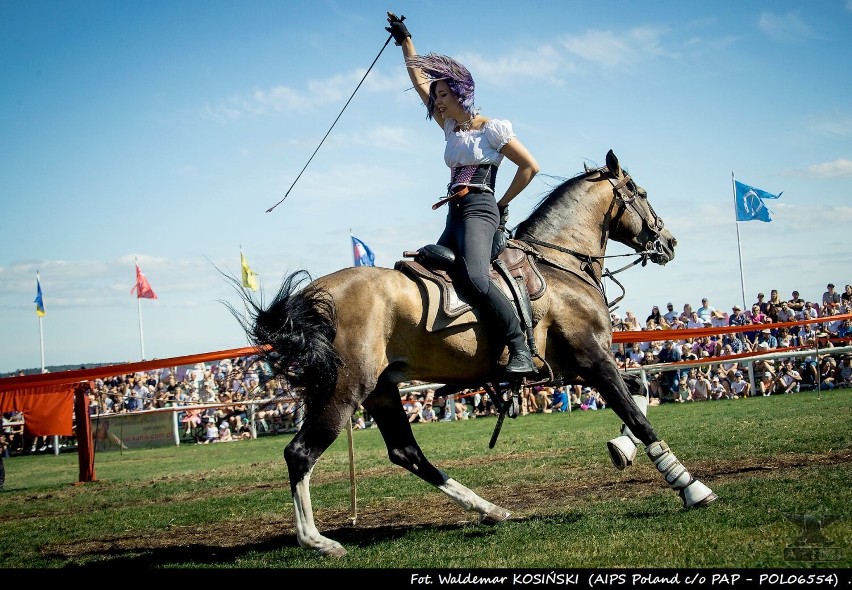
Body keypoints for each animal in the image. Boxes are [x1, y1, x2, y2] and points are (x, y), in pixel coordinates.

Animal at [235, 150, 720, 556]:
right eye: (641, 192)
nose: (669, 242)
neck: (558, 267)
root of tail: (315, 294)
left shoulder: (576, 369)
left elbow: (640, 387)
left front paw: (623, 450)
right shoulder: (592, 361)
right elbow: (639, 416)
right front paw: (690, 487)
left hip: (381, 391)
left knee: (407, 454)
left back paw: (489, 509)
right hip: (343, 391)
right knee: (300, 453)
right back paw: (317, 541)